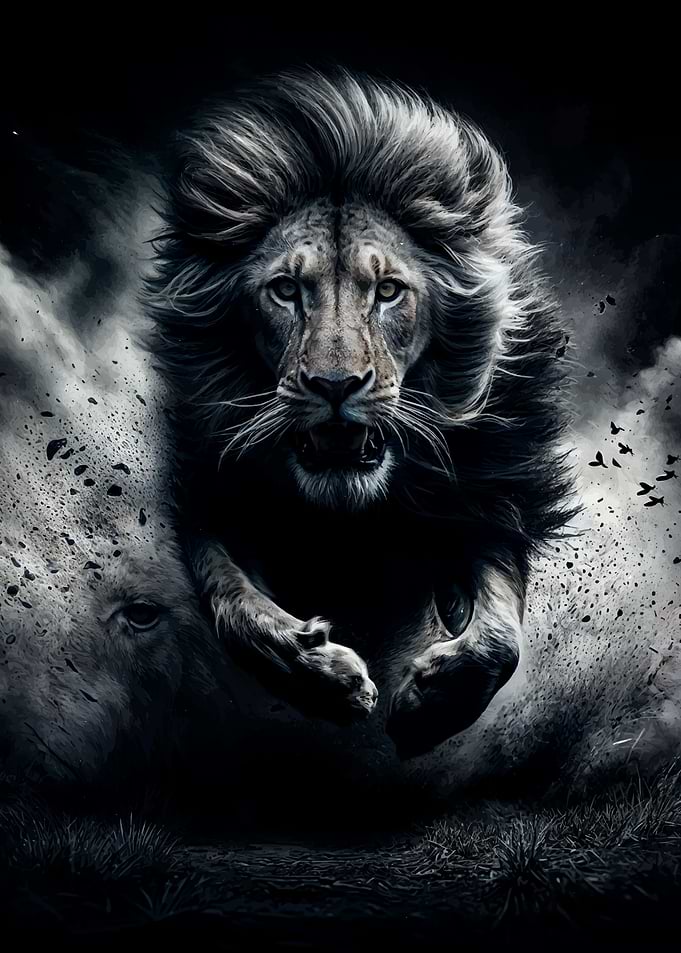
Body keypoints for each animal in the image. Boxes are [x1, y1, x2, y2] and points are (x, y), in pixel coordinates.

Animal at [146, 68, 576, 758]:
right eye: (286, 290)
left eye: (389, 292)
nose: (335, 384)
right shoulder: (213, 497)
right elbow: (233, 605)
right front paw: (324, 675)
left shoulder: (490, 494)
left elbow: (498, 640)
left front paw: (429, 705)